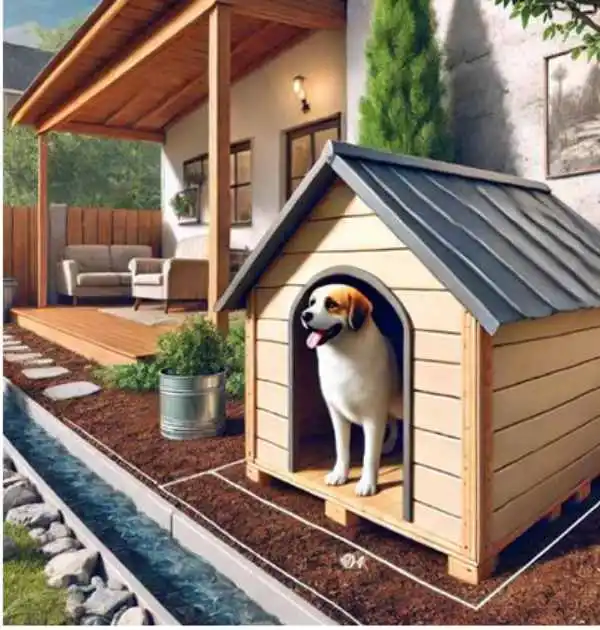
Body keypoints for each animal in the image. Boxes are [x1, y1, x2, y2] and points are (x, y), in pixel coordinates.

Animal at [300, 284, 404, 496]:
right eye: (312, 303)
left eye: (331, 304)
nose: (304, 315)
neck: (343, 356)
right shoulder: (338, 415)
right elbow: (341, 449)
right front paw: (340, 474)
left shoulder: (373, 418)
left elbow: (369, 456)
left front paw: (367, 484)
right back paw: (388, 444)